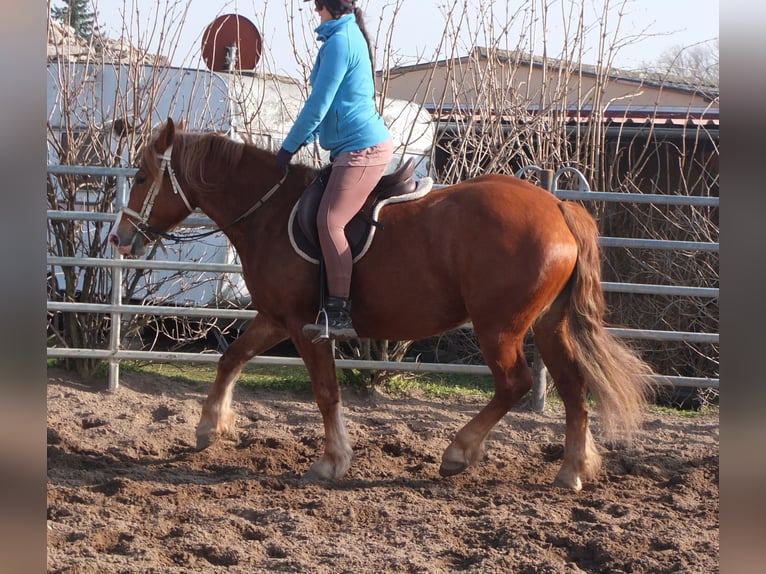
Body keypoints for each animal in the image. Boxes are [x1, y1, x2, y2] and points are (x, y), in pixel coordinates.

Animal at [108, 119, 656, 492]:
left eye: (142, 176)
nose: (120, 239)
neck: (269, 212)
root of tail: (559, 207)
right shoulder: (275, 318)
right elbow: (231, 358)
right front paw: (208, 427)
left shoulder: (306, 325)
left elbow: (326, 391)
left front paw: (331, 461)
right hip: (546, 325)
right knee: (572, 386)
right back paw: (571, 470)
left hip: (499, 327)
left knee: (515, 383)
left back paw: (459, 452)